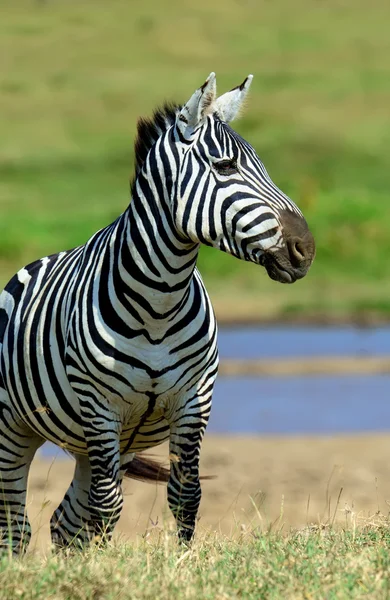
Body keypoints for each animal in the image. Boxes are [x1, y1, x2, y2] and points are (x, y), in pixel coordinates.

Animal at [0, 72, 314, 552]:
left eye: (263, 165)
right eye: (225, 167)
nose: (306, 250)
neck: (159, 304)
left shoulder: (193, 400)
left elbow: (187, 494)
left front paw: (181, 561)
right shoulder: (100, 407)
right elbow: (107, 507)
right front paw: (106, 566)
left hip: (97, 443)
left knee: (65, 522)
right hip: (16, 430)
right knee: (17, 527)